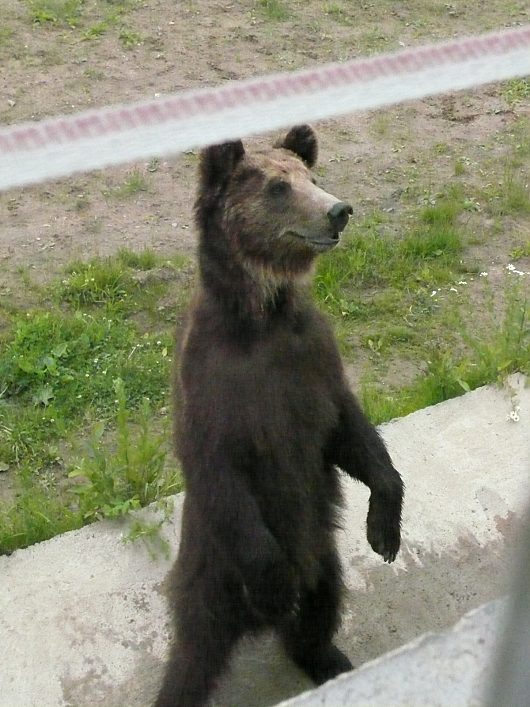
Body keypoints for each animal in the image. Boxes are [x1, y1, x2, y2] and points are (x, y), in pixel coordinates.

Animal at [155, 124, 402, 704]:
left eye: (311, 175)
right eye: (276, 186)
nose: (338, 210)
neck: (262, 319)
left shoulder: (312, 362)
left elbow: (351, 433)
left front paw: (385, 530)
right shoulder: (213, 385)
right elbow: (219, 467)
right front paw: (274, 584)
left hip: (322, 552)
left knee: (320, 607)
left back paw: (327, 657)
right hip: (211, 576)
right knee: (194, 654)